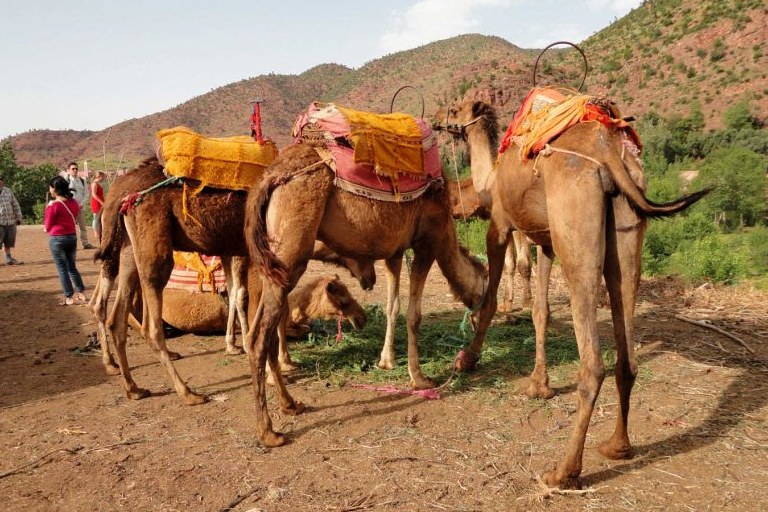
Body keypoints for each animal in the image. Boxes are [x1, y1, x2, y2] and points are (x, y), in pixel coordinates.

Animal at [94, 158, 378, 402]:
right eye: (342, 297)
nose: (370, 278)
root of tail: (122, 194)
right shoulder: (258, 259)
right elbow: (256, 305)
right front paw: (273, 369)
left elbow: (248, 299)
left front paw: (278, 360)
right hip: (153, 251)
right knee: (149, 326)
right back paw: (188, 393)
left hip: (128, 250)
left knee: (115, 317)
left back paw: (133, 387)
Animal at [243, 138, 488, 446]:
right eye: (486, 290)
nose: (479, 321)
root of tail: (268, 178)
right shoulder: (427, 241)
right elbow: (414, 314)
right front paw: (419, 378)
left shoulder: (394, 252)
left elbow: (393, 307)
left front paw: (386, 361)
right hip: (290, 252)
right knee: (259, 336)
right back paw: (269, 432)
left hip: (270, 260)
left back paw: (291, 404)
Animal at [440, 99, 712, 488]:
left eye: (455, 110)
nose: (437, 122)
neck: (490, 177)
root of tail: (607, 150)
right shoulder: (545, 241)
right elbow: (540, 311)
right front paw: (538, 385)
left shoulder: (502, 223)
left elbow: (492, 295)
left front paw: (468, 359)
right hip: (626, 225)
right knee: (626, 343)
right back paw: (617, 446)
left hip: (575, 222)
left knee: (593, 362)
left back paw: (564, 471)